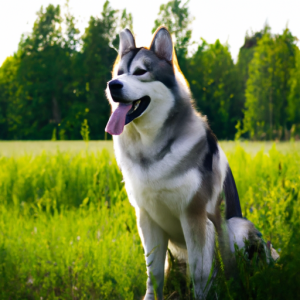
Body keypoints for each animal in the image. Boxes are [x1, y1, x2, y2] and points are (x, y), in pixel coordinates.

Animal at [106, 27, 268, 298]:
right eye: (119, 73)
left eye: (140, 72)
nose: (113, 86)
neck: (152, 148)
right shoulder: (147, 218)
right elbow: (154, 273)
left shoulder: (195, 214)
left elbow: (201, 274)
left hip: (234, 226)